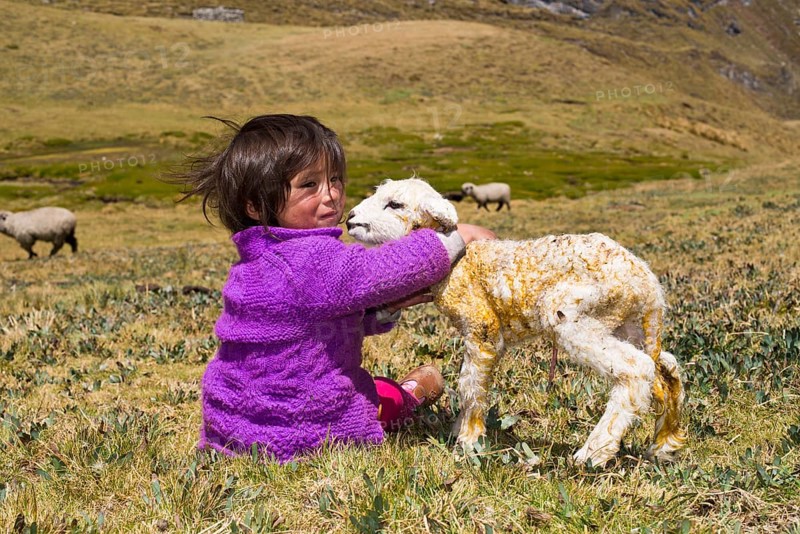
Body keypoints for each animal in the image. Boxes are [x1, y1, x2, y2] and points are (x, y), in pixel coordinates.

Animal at [346, 178, 686, 467]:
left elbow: (470, 385)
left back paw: (593, 453)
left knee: (636, 369)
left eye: (395, 204)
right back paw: (664, 444)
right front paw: (460, 430)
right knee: (665, 369)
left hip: (578, 312)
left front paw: (467, 441)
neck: (460, 265)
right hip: (630, 323)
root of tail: (647, 282)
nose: (350, 218)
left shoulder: (482, 326)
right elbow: (471, 382)